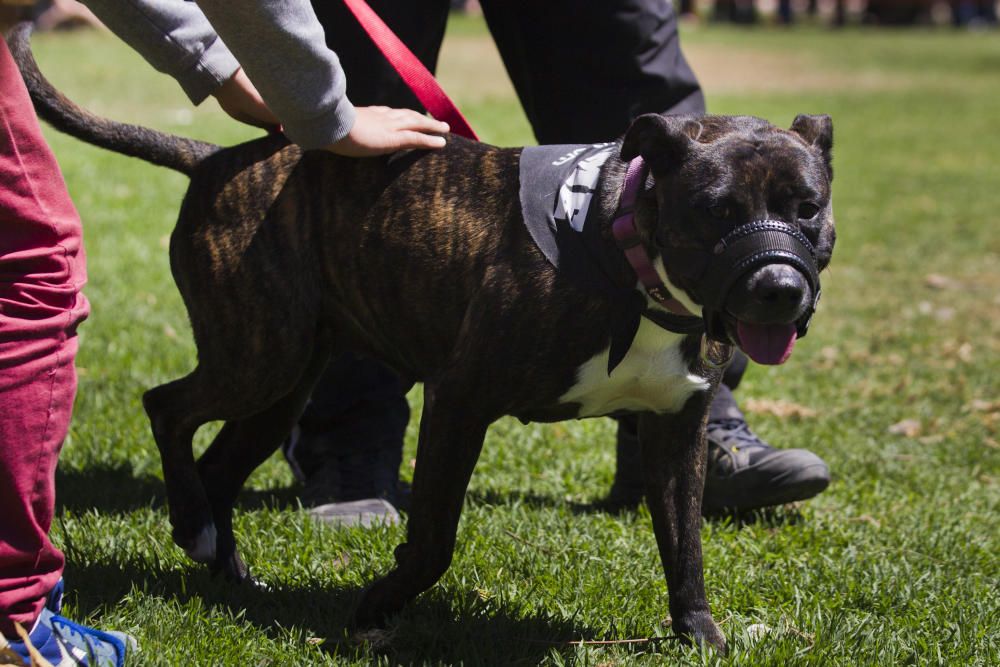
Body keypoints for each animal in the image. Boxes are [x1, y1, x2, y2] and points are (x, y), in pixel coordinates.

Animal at [11, 24, 832, 652]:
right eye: (717, 210)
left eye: (809, 207)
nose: (779, 289)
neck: (623, 254)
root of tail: (215, 158)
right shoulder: (459, 400)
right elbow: (435, 535)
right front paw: (379, 605)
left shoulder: (675, 429)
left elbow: (685, 543)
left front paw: (701, 633)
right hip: (256, 355)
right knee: (167, 407)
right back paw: (190, 522)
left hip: (282, 381)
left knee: (219, 461)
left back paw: (226, 566)